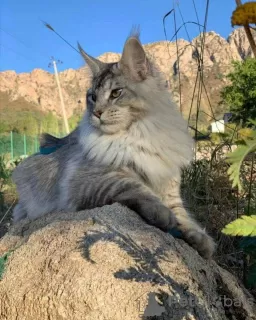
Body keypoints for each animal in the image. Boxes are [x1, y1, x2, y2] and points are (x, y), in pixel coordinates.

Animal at [13, 31, 215, 258]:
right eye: (93, 97)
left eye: (116, 93)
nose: (97, 113)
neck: (140, 133)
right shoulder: (95, 180)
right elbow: (136, 188)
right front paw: (162, 214)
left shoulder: (169, 185)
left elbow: (183, 216)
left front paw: (199, 240)